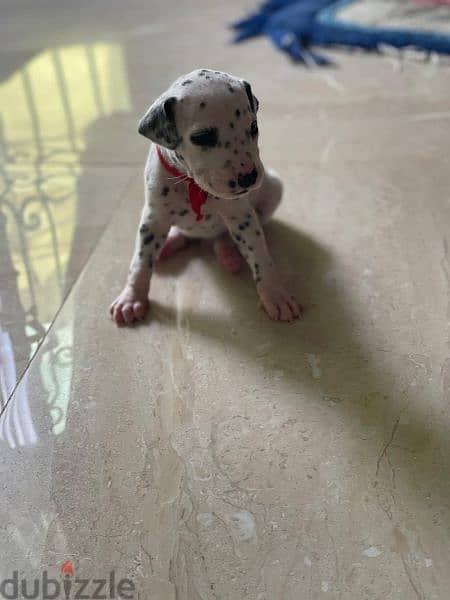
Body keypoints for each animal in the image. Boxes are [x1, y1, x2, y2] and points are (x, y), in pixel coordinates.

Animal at [111, 67, 302, 324]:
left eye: (253, 127)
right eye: (202, 137)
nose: (249, 177)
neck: (192, 184)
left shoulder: (242, 216)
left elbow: (261, 257)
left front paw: (275, 294)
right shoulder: (153, 218)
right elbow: (140, 261)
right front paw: (131, 298)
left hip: (273, 188)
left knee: (224, 237)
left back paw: (227, 252)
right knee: (182, 235)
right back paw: (170, 243)